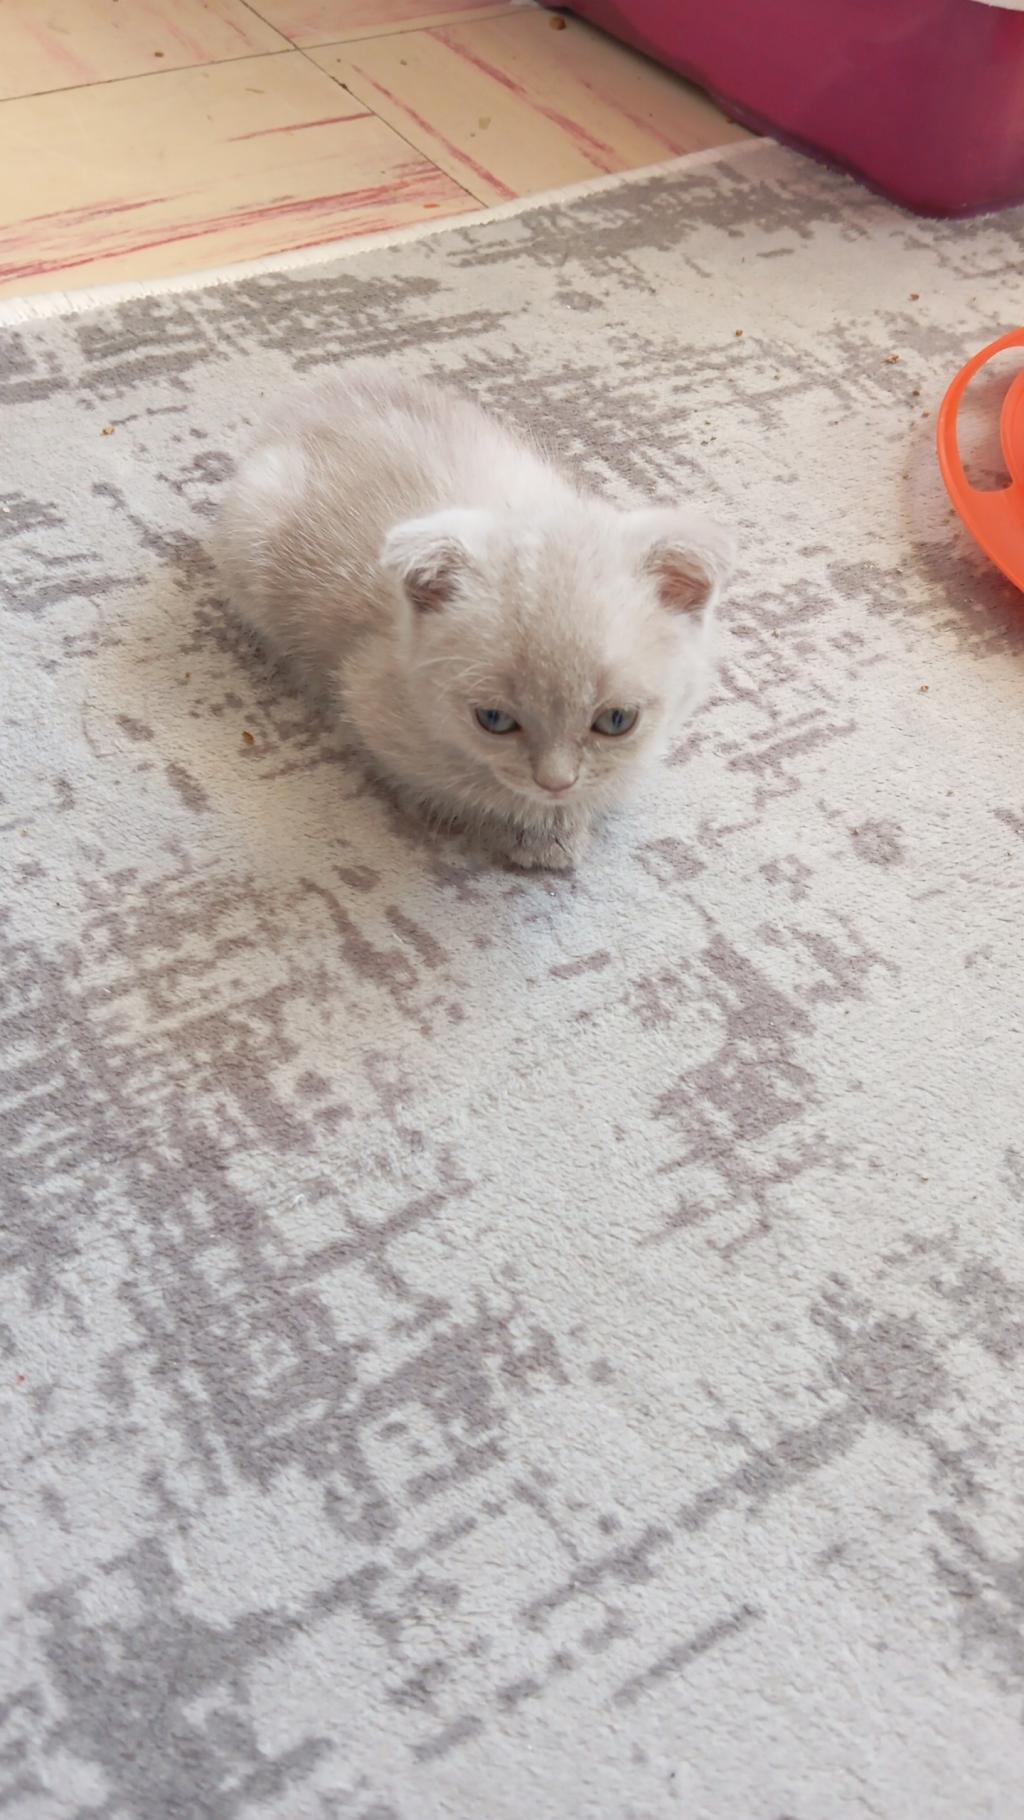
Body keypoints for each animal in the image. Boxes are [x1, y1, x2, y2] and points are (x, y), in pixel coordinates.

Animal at [216, 360, 734, 869]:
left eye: (617, 720)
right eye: (494, 719)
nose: (555, 781)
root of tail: (306, 401)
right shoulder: (370, 706)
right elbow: (470, 792)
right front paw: (542, 834)